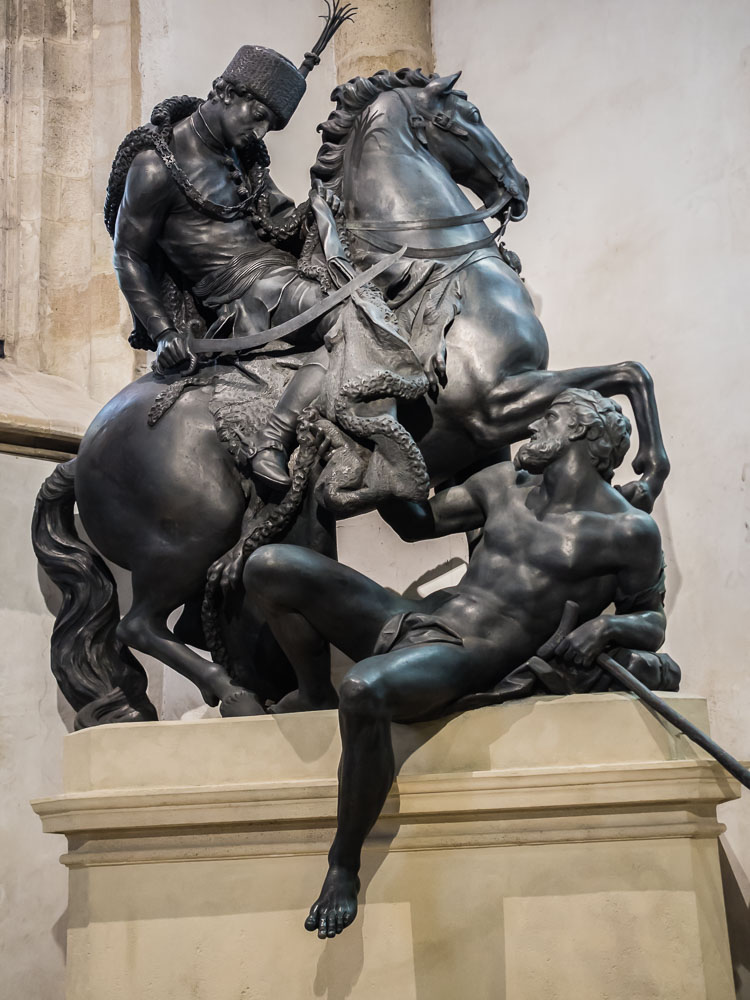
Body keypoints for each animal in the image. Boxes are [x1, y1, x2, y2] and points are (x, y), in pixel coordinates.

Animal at [33, 68, 668, 728]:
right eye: (468, 114)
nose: (516, 189)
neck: (436, 264)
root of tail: (81, 454)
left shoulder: (485, 444)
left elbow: (621, 379)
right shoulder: (496, 402)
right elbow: (624, 375)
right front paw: (646, 476)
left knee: (180, 621)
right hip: (182, 541)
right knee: (140, 624)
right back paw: (236, 694)